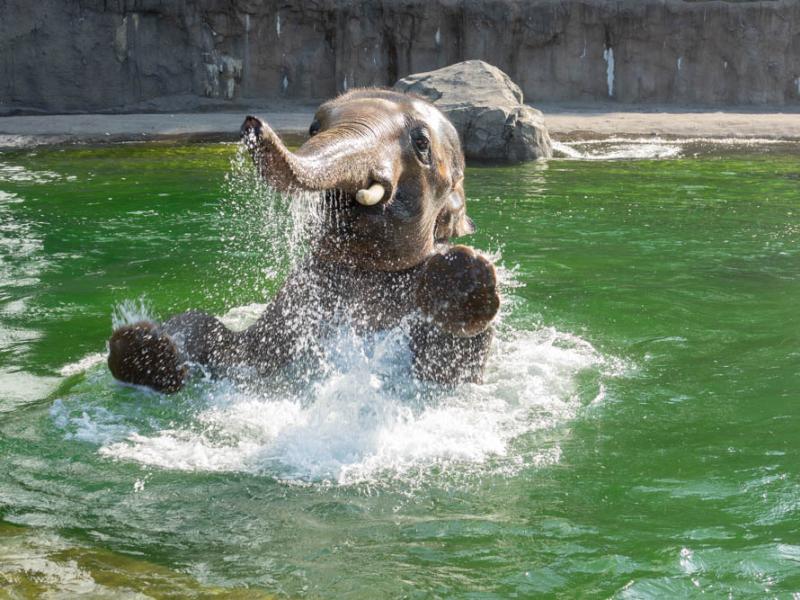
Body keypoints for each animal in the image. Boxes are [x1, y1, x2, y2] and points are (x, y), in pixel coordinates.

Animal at [108, 86, 500, 392]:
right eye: (314, 126)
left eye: (421, 143)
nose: (252, 124)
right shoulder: (293, 298)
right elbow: (228, 345)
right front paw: (144, 349)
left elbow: (443, 369)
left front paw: (464, 273)